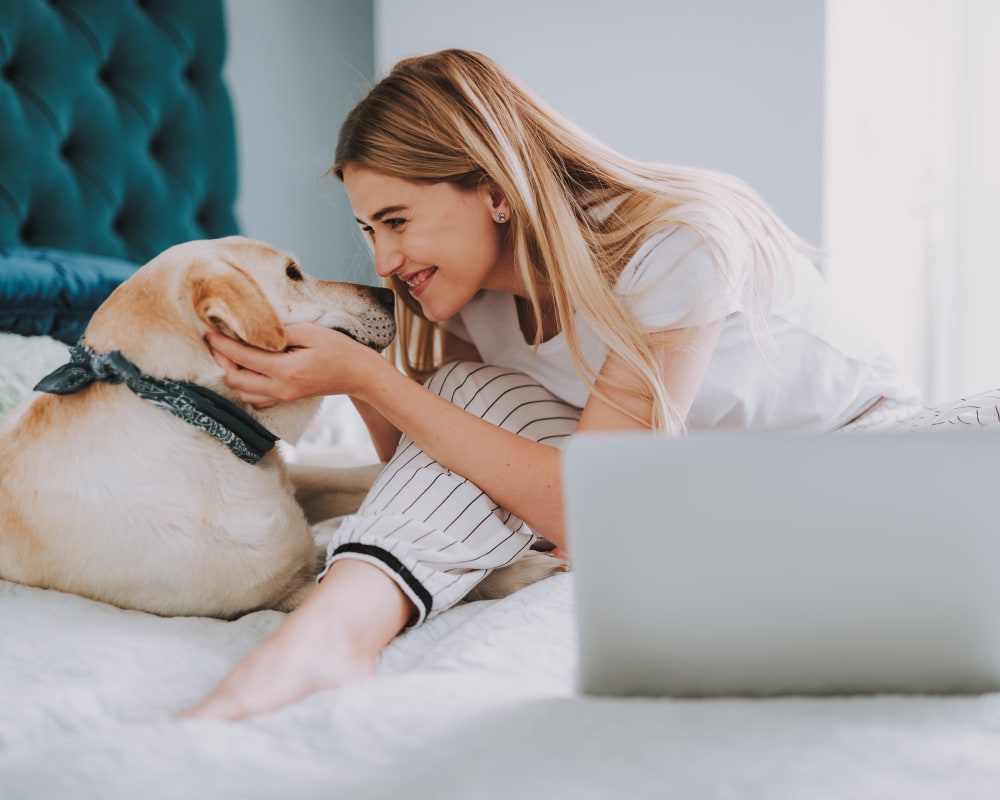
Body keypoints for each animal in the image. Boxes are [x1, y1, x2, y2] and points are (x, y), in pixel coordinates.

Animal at [0, 234, 564, 620]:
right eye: (293, 272)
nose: (390, 297)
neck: (195, 417)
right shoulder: (282, 593)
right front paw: (524, 571)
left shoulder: (298, 485)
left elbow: (361, 475)